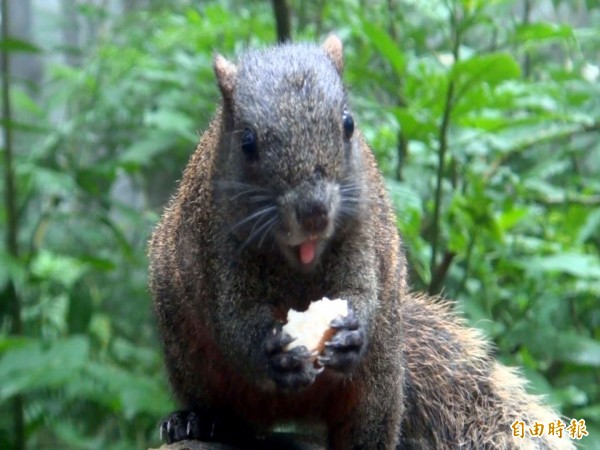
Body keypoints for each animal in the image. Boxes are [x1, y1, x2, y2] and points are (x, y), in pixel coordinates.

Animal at [148, 36, 576, 450]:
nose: (314, 212)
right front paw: (272, 352)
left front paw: (351, 334)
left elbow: (361, 290)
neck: (297, 265)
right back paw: (197, 421)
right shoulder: (218, 245)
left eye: (348, 124)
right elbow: (232, 321)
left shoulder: (362, 232)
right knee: (228, 413)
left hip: (379, 384)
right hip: (187, 350)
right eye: (247, 142)